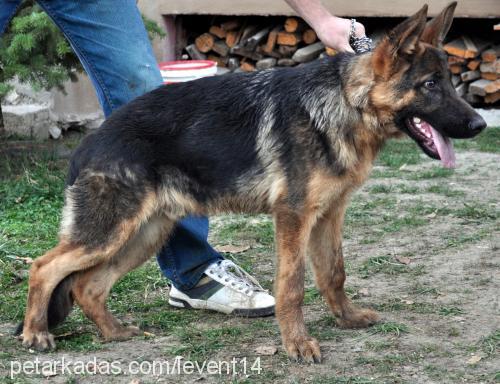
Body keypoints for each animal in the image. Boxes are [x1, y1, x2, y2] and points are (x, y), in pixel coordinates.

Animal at [18, 3, 484, 364]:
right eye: (429, 85)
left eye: (449, 82)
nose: (480, 125)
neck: (345, 103)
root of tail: (90, 143)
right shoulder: (293, 217)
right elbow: (293, 286)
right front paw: (297, 344)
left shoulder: (329, 215)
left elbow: (334, 273)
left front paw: (347, 319)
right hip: (110, 232)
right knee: (45, 267)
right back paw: (35, 334)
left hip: (143, 235)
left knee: (86, 285)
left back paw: (113, 332)